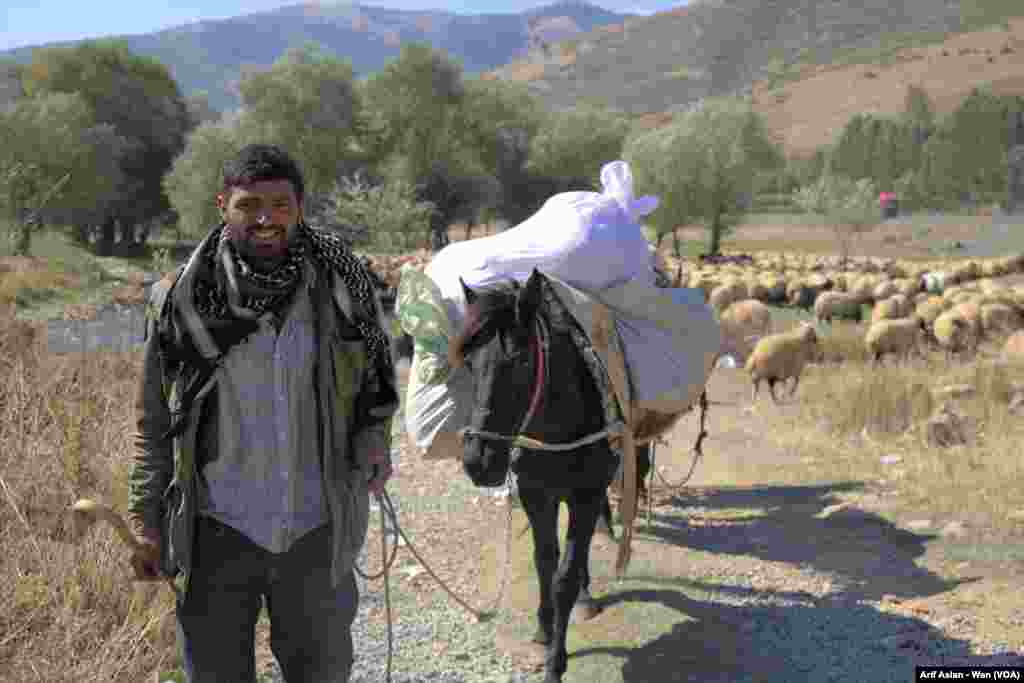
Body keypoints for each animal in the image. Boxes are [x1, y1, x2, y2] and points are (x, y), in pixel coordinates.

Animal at [450, 270, 643, 679]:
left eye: (521, 360)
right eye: (470, 363)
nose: (478, 462)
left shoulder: (585, 496)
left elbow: (564, 576)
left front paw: (556, 660)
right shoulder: (535, 494)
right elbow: (544, 561)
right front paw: (544, 627)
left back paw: (585, 596)